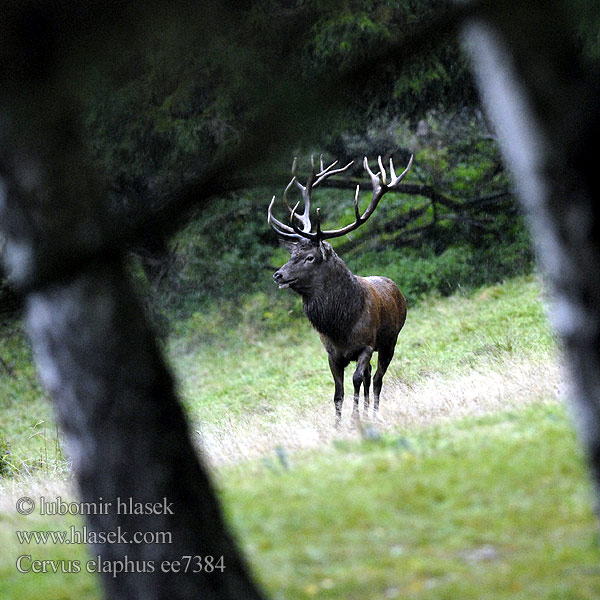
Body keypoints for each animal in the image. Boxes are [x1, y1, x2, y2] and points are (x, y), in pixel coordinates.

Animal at [268, 156, 412, 426]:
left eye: (310, 257)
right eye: (292, 255)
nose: (278, 275)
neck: (340, 325)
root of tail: (397, 290)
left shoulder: (366, 345)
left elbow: (356, 380)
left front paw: (355, 420)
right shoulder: (332, 354)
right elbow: (338, 391)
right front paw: (337, 425)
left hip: (390, 340)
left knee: (376, 378)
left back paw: (373, 413)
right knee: (369, 376)